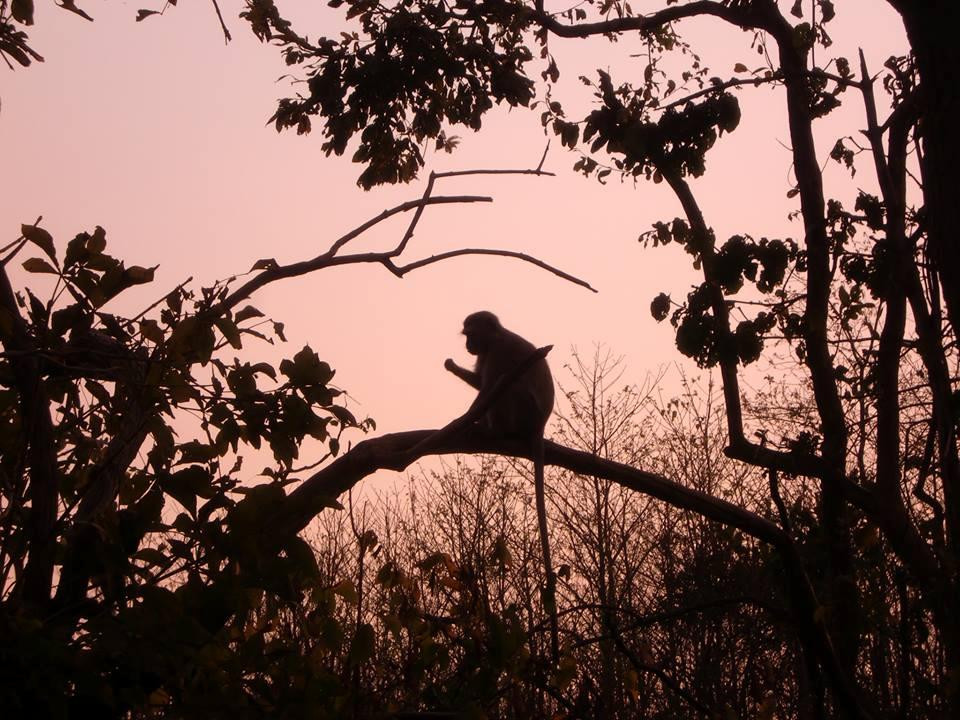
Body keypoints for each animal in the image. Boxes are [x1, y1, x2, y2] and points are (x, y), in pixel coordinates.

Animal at [444, 310, 564, 664]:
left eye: (471, 333)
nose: (468, 345)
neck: (495, 337)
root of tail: (539, 426)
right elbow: (481, 383)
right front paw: (452, 366)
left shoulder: (498, 352)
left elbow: (489, 389)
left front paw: (465, 421)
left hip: (523, 414)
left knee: (507, 388)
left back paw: (491, 431)